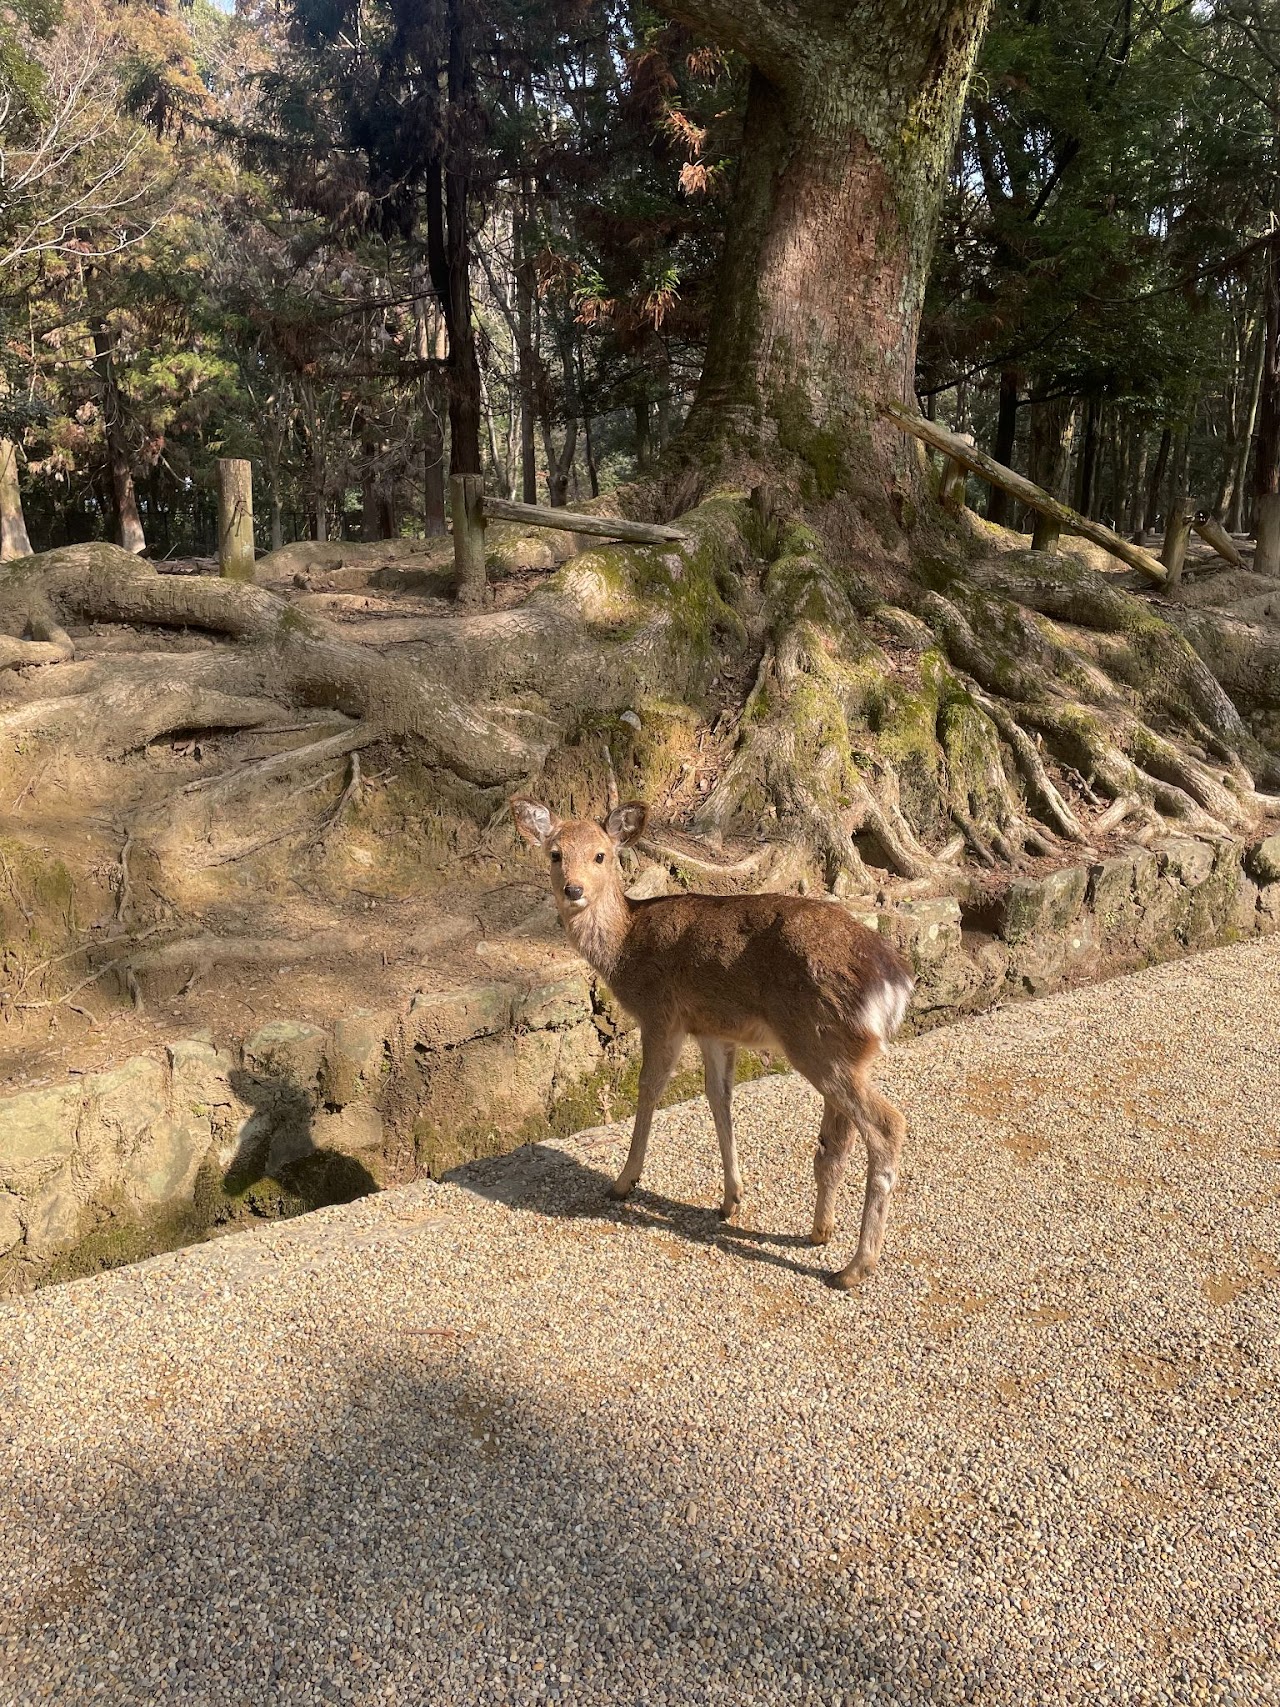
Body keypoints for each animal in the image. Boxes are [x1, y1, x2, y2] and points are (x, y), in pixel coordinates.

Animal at [510, 795, 915, 1286]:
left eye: (600, 855)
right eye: (555, 853)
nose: (573, 889)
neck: (626, 945)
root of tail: (894, 985)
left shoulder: (661, 1013)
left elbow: (649, 1089)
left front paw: (624, 1182)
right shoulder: (713, 1030)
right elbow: (719, 1099)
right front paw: (730, 1200)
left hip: (817, 1042)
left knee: (887, 1124)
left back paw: (854, 1267)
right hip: (844, 1050)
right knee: (836, 1143)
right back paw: (821, 1232)